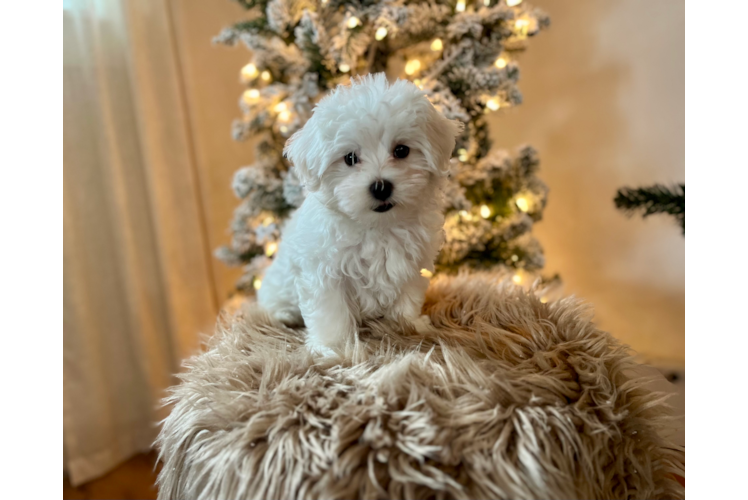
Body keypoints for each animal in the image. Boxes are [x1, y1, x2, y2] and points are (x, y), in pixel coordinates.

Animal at [258, 73, 462, 356]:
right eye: (350, 158)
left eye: (401, 150)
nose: (381, 186)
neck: (376, 226)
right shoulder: (325, 272)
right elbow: (331, 312)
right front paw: (335, 348)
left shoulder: (410, 264)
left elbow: (407, 299)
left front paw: (409, 326)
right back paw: (284, 316)